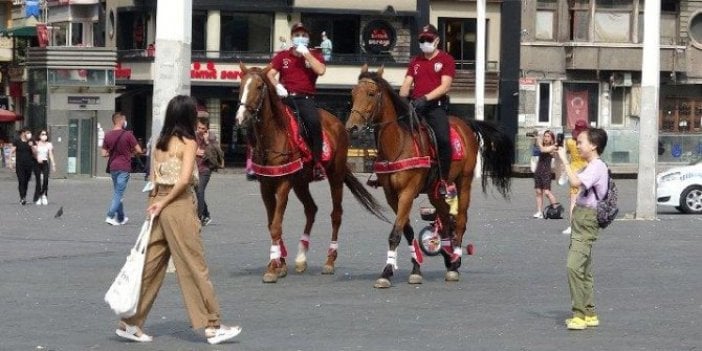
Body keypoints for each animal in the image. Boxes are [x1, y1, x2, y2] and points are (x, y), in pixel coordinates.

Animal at [236, 63, 384, 284]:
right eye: (241, 85)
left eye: (259, 86)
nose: (240, 118)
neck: (273, 136)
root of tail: (338, 123)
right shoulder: (266, 185)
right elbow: (272, 224)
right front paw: (279, 263)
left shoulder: (284, 183)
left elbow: (276, 225)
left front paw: (272, 267)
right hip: (300, 182)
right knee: (311, 210)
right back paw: (301, 257)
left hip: (335, 176)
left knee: (336, 214)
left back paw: (329, 261)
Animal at [346, 66, 512, 288]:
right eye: (353, 94)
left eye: (371, 94)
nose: (352, 127)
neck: (398, 143)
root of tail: (465, 123)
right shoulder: (392, 196)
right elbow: (406, 231)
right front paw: (415, 269)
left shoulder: (407, 193)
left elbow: (395, 233)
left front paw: (387, 271)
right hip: (435, 191)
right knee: (446, 221)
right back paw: (448, 257)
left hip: (464, 182)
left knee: (460, 222)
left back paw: (455, 263)